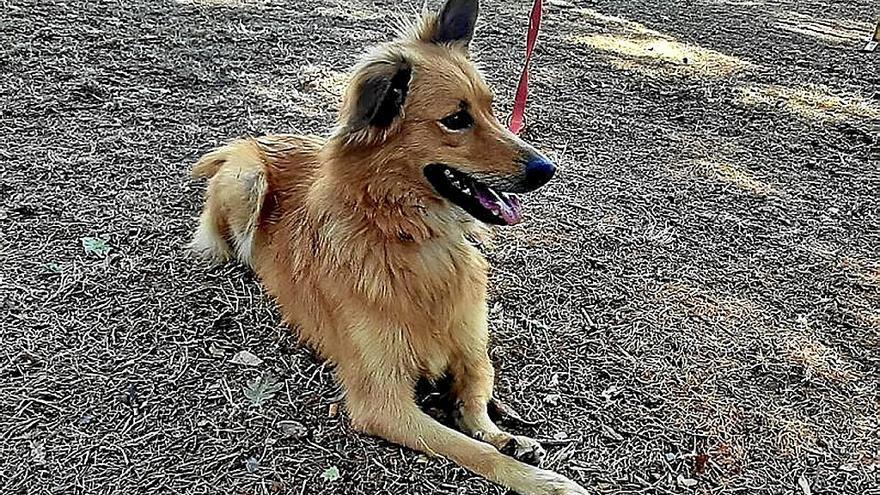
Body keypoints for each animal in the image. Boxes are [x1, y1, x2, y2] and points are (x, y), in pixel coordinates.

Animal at [187, 1, 584, 494]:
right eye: (457, 119)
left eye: (492, 109)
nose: (547, 169)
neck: (412, 238)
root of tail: (257, 140)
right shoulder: (382, 401)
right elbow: (475, 451)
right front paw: (540, 480)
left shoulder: (470, 344)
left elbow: (478, 389)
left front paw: (504, 434)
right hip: (247, 180)